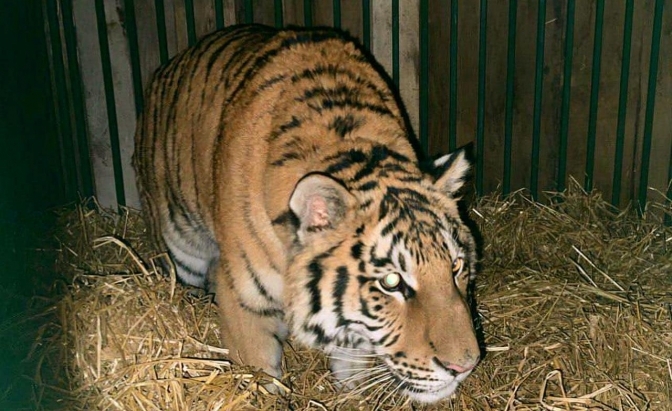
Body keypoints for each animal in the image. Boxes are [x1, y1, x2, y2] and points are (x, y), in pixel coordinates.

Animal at [132, 23, 481, 403]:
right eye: (391, 282)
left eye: (455, 266)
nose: (465, 366)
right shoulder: (245, 301)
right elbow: (259, 376)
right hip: (182, 245)